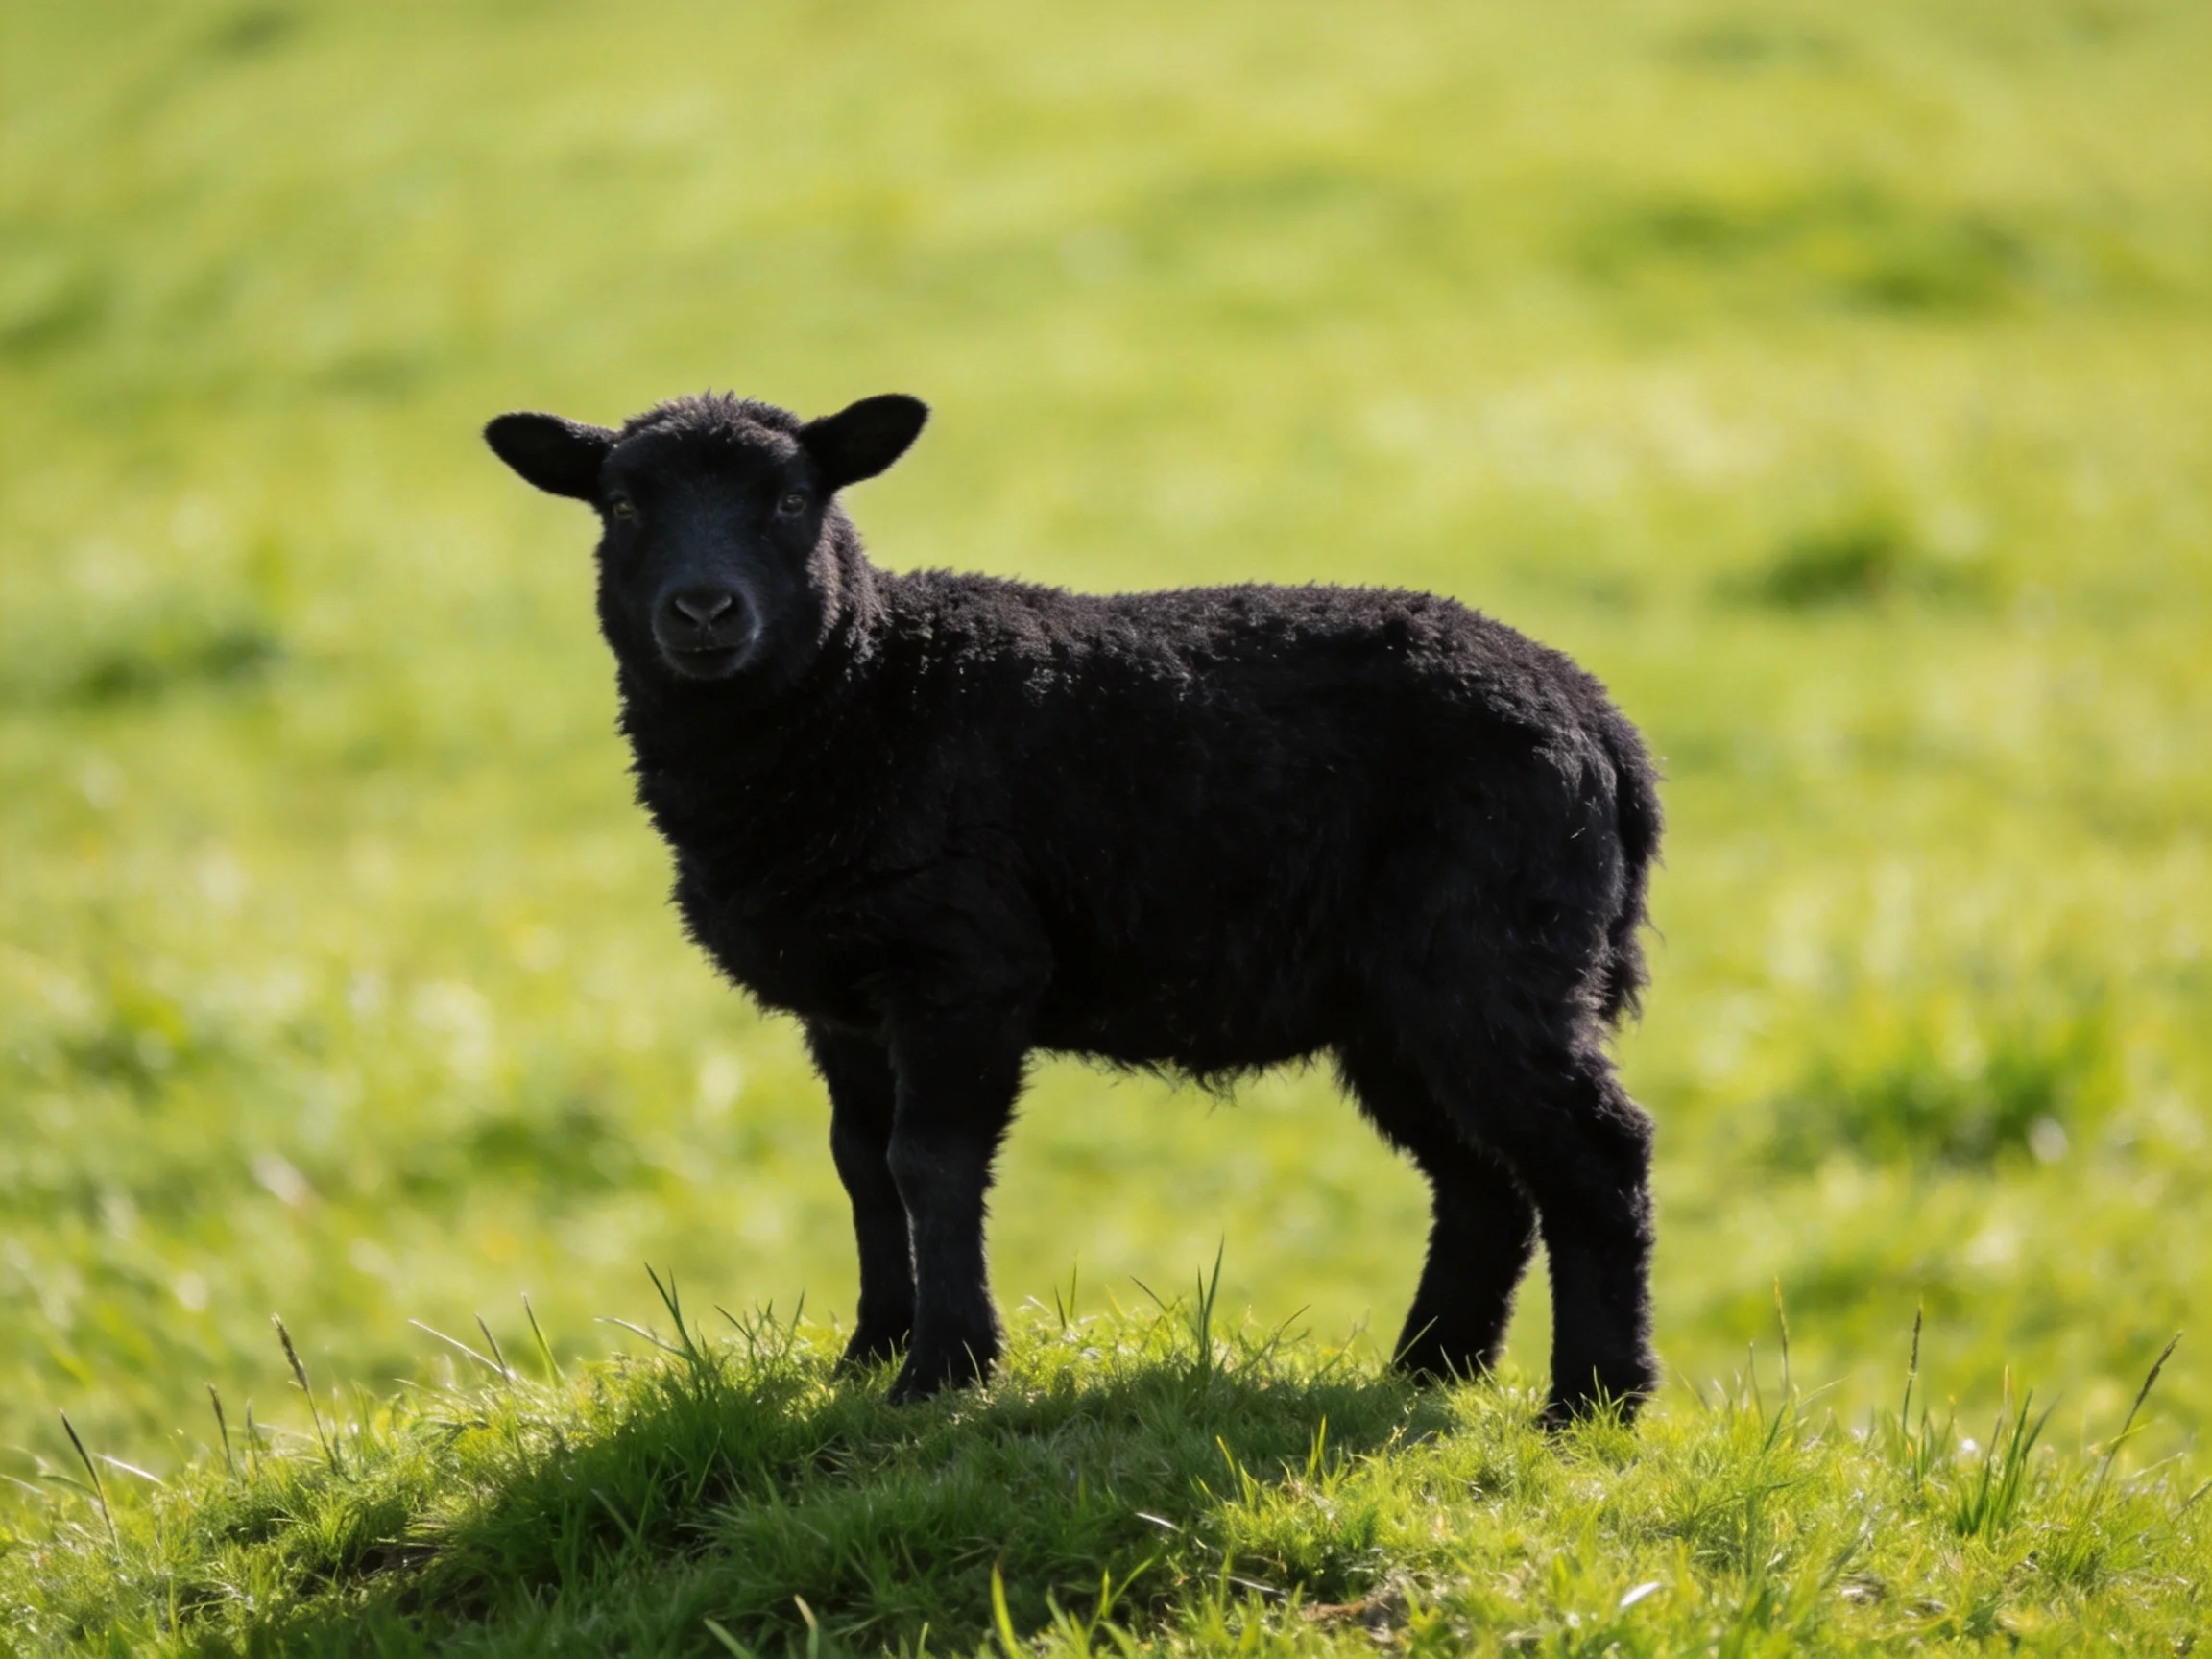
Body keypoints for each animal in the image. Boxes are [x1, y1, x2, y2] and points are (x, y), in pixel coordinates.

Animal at [485, 390, 1664, 1421]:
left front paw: (945, 1370)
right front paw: (868, 1355)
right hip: (1395, 1002)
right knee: (1482, 1182)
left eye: (792, 500)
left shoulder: (965, 965)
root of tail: (1602, 723)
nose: (703, 610)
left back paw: (1591, 1404)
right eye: (622, 504)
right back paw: (1426, 1374)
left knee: (1597, 1156)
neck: (873, 693)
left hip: (1494, 953)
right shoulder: (846, 997)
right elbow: (861, 1166)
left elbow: (929, 1163)